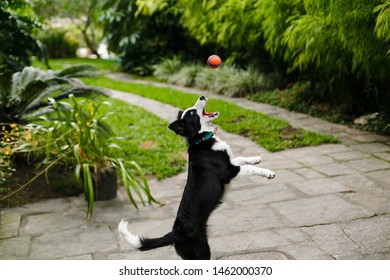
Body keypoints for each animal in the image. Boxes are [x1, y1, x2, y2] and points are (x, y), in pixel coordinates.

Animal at [118, 95, 274, 260]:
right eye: (192, 113)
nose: (202, 96)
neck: (202, 139)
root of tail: (176, 233)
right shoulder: (229, 171)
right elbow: (249, 168)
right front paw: (268, 173)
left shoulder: (230, 161)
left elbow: (242, 158)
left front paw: (255, 158)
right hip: (202, 250)